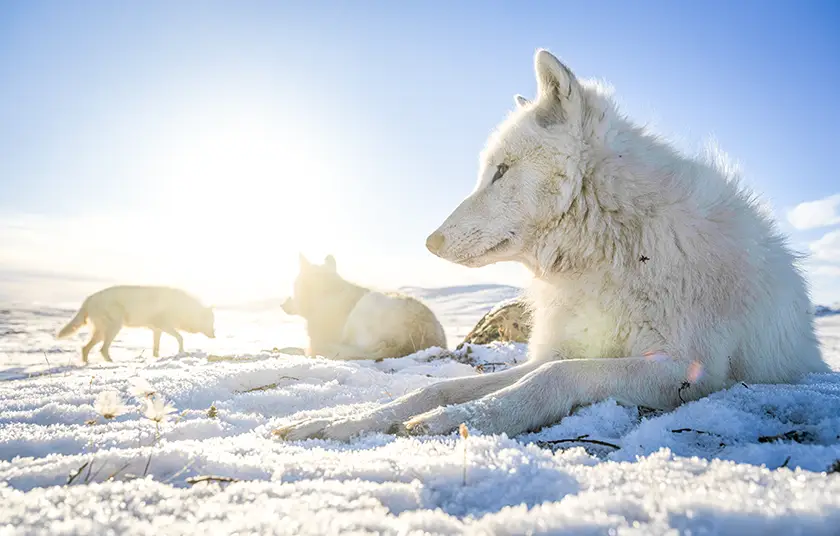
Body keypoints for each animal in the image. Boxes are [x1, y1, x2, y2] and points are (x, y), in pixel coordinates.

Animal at [57, 285, 216, 363]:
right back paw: (110, 363)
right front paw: (181, 352)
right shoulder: (164, 326)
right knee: (102, 349)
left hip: (102, 332)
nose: (215, 336)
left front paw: (156, 358)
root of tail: (88, 299)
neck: (184, 309)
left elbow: (156, 348)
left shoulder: (157, 330)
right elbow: (181, 338)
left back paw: (87, 364)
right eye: (211, 322)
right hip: (114, 329)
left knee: (85, 348)